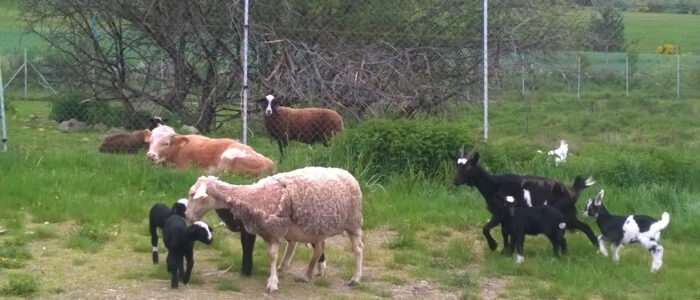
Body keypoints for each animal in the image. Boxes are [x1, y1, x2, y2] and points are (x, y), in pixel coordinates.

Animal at [144, 124, 274, 176]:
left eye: (166, 143)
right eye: (150, 141)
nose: (151, 155)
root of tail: (269, 163)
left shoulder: (183, 167)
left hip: (228, 158)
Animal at [183, 168, 364, 294]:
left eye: (192, 195)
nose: (187, 215)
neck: (252, 197)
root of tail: (347, 174)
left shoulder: (276, 231)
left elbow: (273, 256)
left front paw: (272, 284)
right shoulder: (267, 232)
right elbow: (270, 255)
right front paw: (273, 278)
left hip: (352, 221)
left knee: (358, 248)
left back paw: (355, 278)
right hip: (317, 227)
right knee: (319, 249)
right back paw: (306, 275)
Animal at [454, 149, 596, 252]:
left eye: (469, 167)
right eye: (456, 166)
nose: (455, 180)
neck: (494, 185)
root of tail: (572, 190)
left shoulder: (500, 213)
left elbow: (486, 228)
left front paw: (493, 246)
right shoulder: (505, 217)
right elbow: (504, 232)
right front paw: (505, 250)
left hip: (563, 215)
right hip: (568, 215)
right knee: (585, 227)